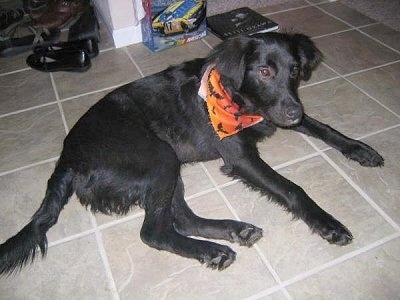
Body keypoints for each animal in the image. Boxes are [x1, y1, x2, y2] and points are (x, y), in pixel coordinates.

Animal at [0, 32, 382, 274]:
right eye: (264, 71)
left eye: (296, 72)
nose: (293, 113)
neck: (239, 97)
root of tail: (67, 157)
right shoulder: (240, 158)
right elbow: (292, 188)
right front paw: (327, 223)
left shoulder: (277, 114)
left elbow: (326, 129)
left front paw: (360, 149)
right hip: (160, 159)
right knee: (153, 232)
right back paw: (211, 250)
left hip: (168, 168)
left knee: (181, 219)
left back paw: (233, 231)